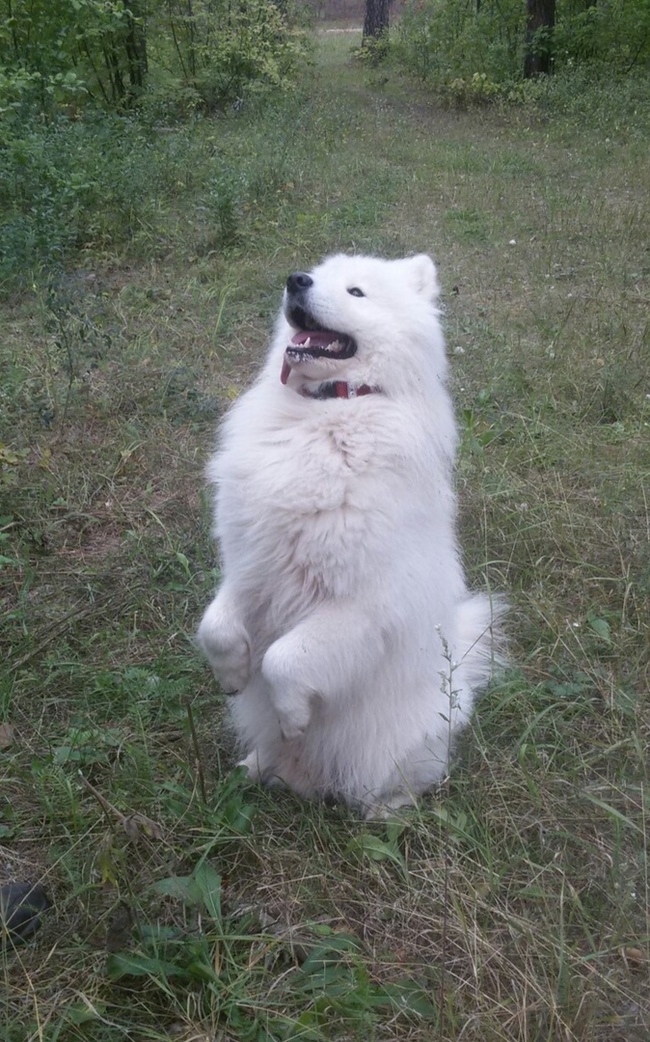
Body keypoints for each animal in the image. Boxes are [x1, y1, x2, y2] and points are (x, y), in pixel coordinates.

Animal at [197, 256, 502, 816]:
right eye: (316, 275)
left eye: (356, 292)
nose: (296, 280)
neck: (326, 410)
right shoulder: (250, 568)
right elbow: (217, 626)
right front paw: (232, 674)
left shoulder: (361, 610)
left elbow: (283, 659)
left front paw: (293, 714)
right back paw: (256, 767)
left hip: (403, 746)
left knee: (404, 784)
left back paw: (382, 810)